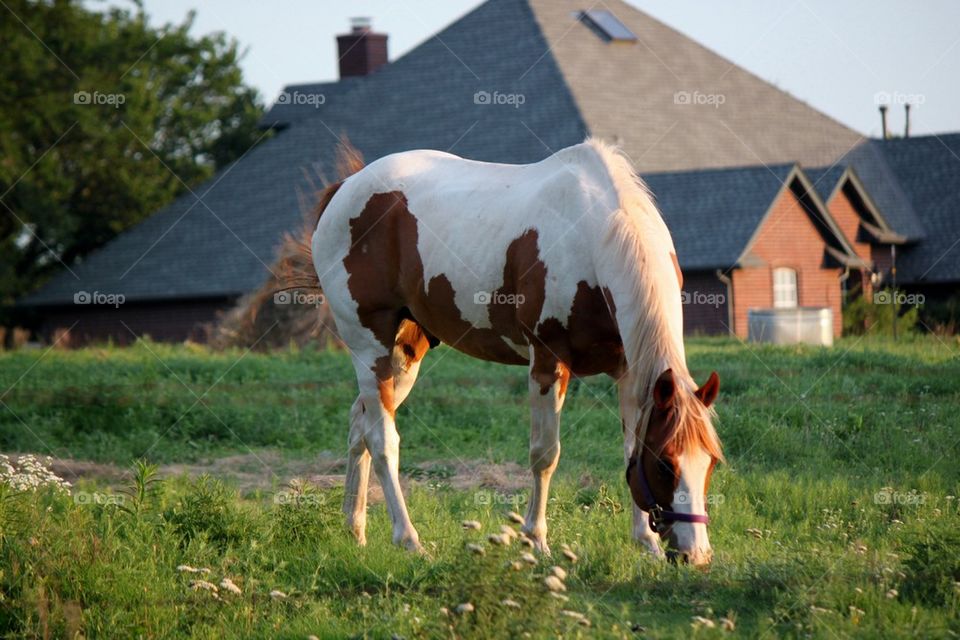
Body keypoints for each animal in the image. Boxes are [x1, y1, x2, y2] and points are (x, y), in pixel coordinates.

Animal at [292, 138, 720, 564]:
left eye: (711, 461)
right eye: (665, 465)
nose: (695, 554)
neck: (591, 236)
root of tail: (345, 190)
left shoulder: (630, 370)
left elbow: (630, 446)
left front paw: (644, 542)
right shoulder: (548, 363)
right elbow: (545, 455)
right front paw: (536, 539)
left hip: (405, 353)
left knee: (359, 425)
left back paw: (354, 528)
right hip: (370, 347)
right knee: (383, 440)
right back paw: (408, 539)